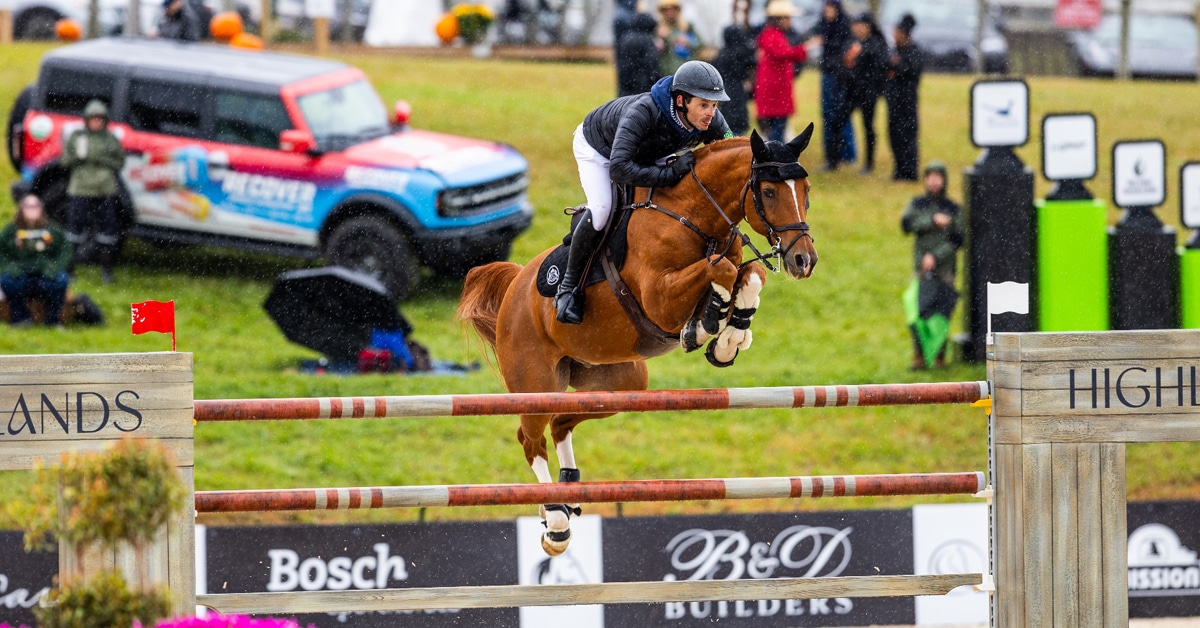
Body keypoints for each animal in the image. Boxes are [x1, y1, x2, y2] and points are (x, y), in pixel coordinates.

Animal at [456, 125, 818, 555]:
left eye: (806, 189)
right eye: (768, 192)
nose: (804, 261)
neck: (696, 215)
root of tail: (515, 286)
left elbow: (749, 275)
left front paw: (728, 338)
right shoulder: (660, 298)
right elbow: (722, 270)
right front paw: (706, 324)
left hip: (618, 382)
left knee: (560, 423)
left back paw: (569, 493)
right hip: (535, 385)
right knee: (530, 439)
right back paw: (556, 521)